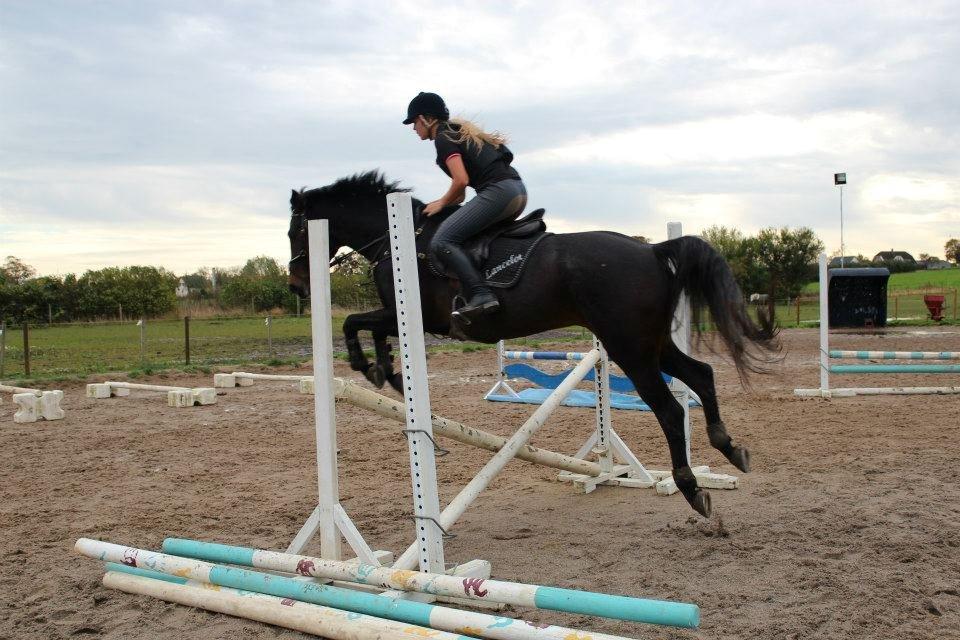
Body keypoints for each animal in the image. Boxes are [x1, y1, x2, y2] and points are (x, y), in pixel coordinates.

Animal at [286, 171, 780, 520]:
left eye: (296, 232)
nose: (296, 287)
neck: (396, 236)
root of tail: (653, 249)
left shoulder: (419, 316)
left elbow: (354, 323)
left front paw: (370, 367)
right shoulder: (402, 316)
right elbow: (369, 329)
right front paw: (385, 372)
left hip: (630, 347)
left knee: (671, 409)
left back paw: (693, 489)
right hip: (650, 343)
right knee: (702, 375)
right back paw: (730, 449)